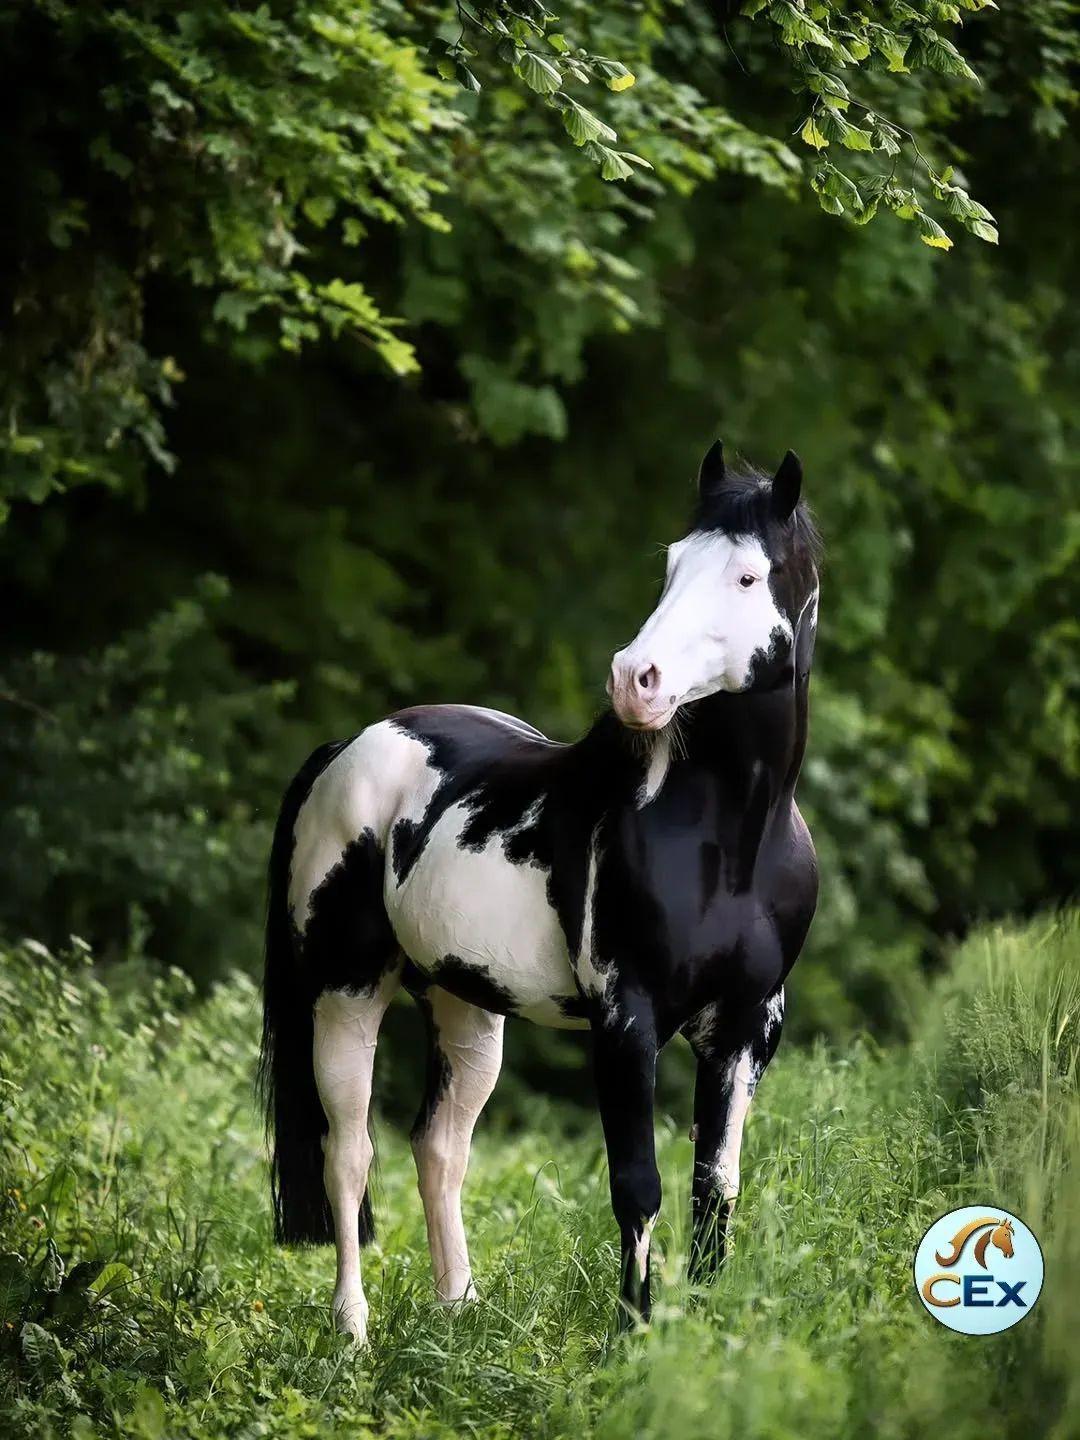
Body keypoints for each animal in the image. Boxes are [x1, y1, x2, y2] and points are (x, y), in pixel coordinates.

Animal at [259, 440, 821, 1342]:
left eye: (746, 576)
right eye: (672, 563)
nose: (635, 679)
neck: (727, 844)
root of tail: (349, 747)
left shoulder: (747, 1029)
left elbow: (715, 1187)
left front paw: (706, 1332)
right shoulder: (626, 1021)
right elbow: (638, 1186)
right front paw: (633, 1336)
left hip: (464, 1004)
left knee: (438, 1148)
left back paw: (458, 1311)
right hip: (346, 992)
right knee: (349, 1152)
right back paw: (351, 1331)